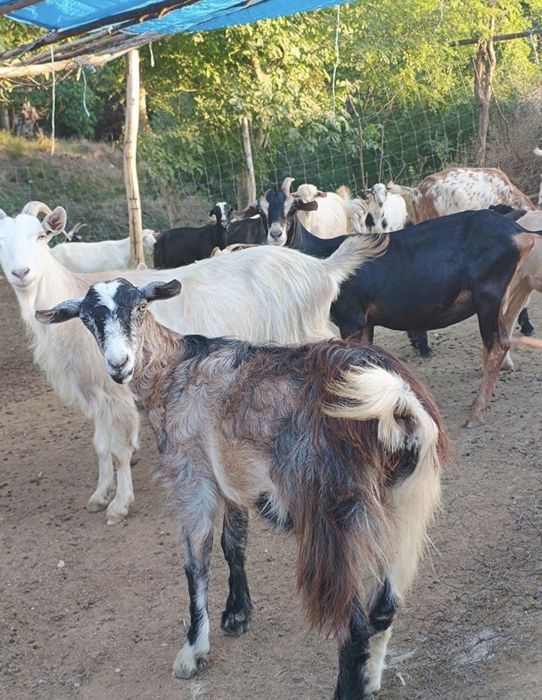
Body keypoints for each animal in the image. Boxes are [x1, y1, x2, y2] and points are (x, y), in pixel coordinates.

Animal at [0, 201, 379, 524]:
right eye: (2, 243)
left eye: (40, 237)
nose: (21, 272)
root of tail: (322, 267)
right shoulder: (95, 392)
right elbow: (102, 446)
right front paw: (99, 494)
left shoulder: (118, 392)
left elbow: (119, 450)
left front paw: (119, 505)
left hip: (305, 333)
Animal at [37, 276, 448, 698]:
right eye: (87, 319)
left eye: (139, 307)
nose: (118, 364)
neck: (173, 370)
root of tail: (398, 403)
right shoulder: (232, 478)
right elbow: (233, 543)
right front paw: (237, 613)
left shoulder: (190, 476)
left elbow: (196, 562)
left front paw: (193, 651)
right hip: (403, 504)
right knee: (384, 608)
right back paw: (370, 680)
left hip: (334, 519)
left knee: (353, 625)